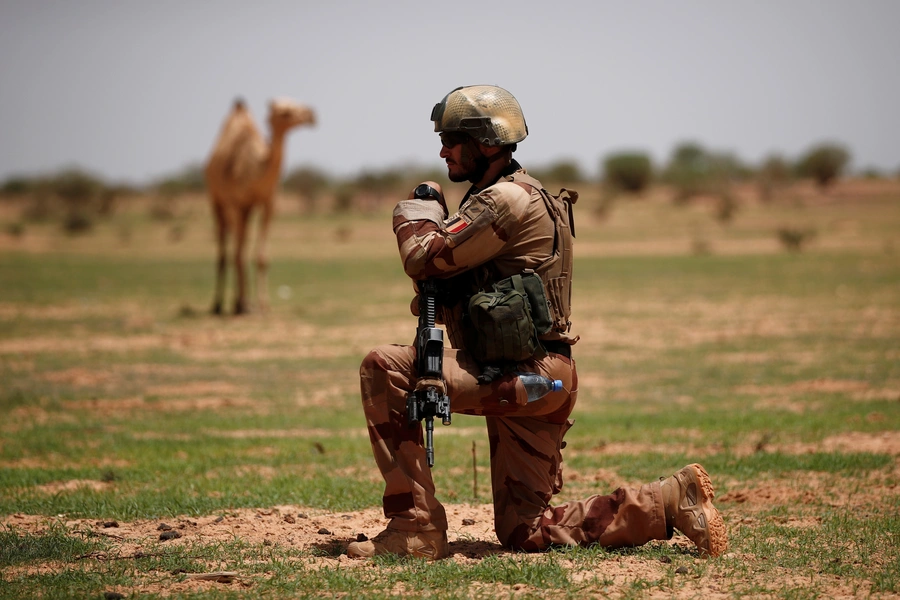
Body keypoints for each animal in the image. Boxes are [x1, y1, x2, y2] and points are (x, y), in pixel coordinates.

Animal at [204, 95, 316, 314]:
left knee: (238, 246)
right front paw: (242, 304)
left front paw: (263, 305)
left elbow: (261, 257)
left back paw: (240, 301)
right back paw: (220, 304)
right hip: (217, 202)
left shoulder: (268, 204)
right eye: (285, 112)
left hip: (245, 210)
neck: (255, 169)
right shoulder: (235, 203)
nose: (311, 115)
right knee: (225, 251)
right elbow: (238, 254)